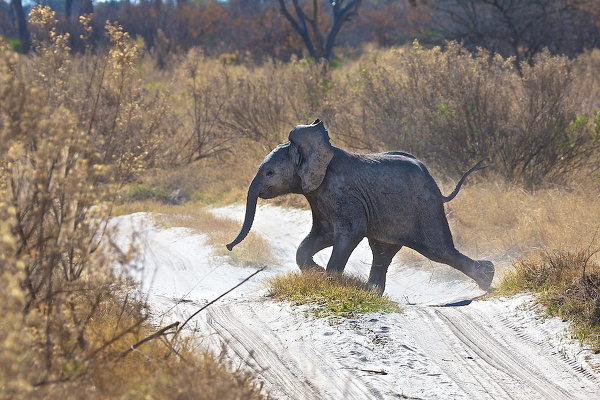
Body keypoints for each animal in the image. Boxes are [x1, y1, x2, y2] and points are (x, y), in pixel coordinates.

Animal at [227, 119, 494, 294]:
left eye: (270, 173)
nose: (228, 247)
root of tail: (436, 186)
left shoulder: (342, 194)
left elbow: (350, 232)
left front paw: (330, 281)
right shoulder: (319, 196)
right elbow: (322, 236)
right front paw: (318, 273)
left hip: (425, 206)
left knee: (438, 250)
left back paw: (487, 279)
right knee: (382, 252)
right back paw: (370, 294)